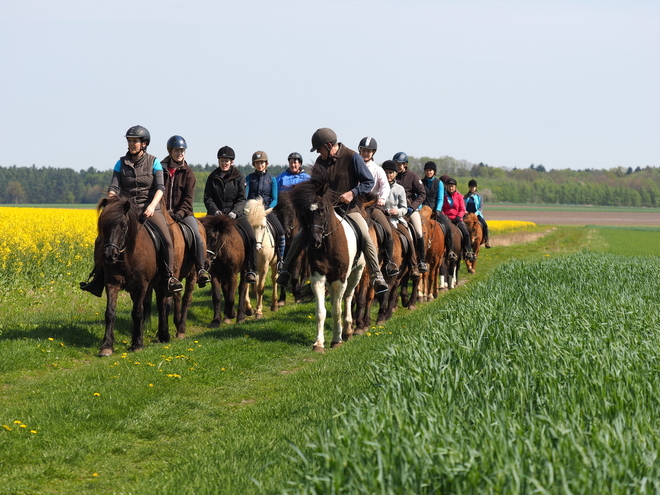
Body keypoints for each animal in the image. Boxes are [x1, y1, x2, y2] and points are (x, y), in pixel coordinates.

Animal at [93, 198, 180, 356]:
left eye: (123, 226)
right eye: (104, 225)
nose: (110, 255)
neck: (126, 256)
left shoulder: (141, 285)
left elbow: (138, 313)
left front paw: (137, 344)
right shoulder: (112, 284)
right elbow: (110, 313)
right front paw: (107, 346)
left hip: (160, 283)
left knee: (162, 305)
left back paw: (164, 335)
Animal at [288, 180, 366, 350]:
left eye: (322, 210)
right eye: (305, 213)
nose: (314, 242)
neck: (328, 246)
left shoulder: (340, 279)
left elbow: (337, 310)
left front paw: (336, 340)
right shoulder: (318, 278)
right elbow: (320, 311)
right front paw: (318, 343)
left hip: (357, 272)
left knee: (348, 297)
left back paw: (348, 330)